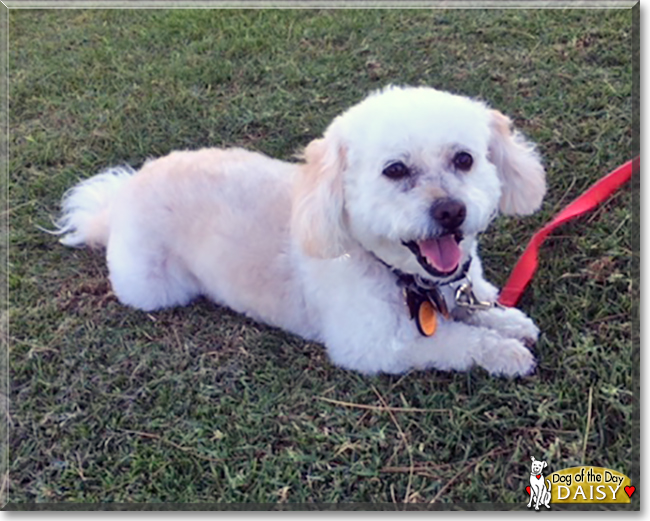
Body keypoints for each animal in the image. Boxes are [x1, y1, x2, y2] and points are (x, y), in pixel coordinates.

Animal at [55, 87, 544, 376]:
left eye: (464, 159)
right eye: (395, 170)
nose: (450, 211)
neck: (411, 279)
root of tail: (121, 196)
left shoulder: (461, 286)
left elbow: (481, 304)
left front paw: (509, 320)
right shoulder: (373, 345)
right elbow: (457, 341)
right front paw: (505, 352)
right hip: (152, 287)